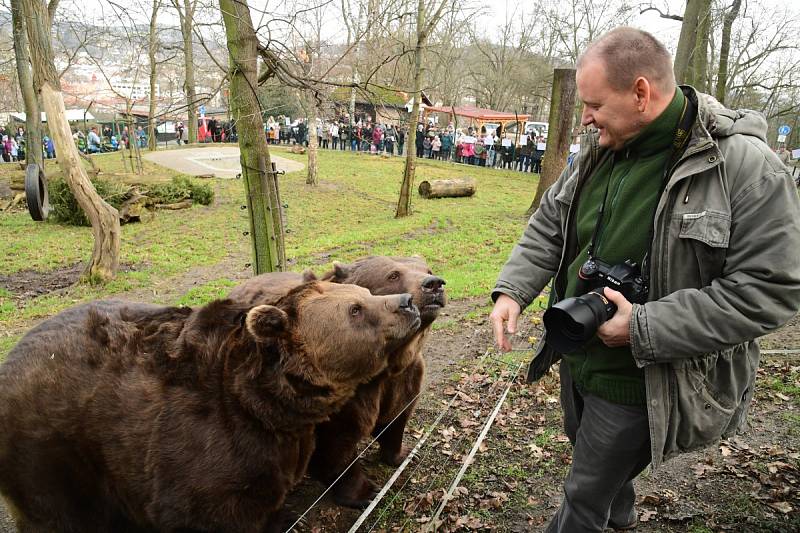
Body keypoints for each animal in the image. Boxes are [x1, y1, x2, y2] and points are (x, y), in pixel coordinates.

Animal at [0, 280, 422, 528]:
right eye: (355, 309)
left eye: (365, 294)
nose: (408, 303)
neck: (264, 405)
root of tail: (11, 358)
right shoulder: (199, 446)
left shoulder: (274, 451)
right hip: (51, 453)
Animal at [228, 256, 446, 508]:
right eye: (393, 274)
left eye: (427, 269)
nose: (434, 284)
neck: (385, 367)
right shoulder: (334, 396)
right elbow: (335, 447)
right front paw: (365, 493)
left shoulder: (403, 378)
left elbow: (396, 418)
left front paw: (403, 453)